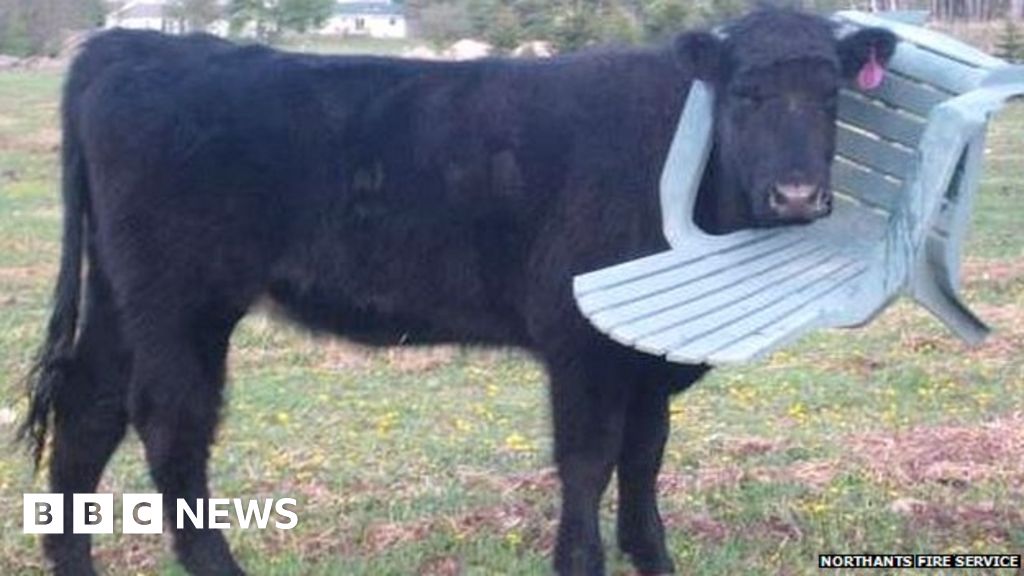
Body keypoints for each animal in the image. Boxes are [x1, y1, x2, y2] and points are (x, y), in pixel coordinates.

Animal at [20, 7, 895, 576]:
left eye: (831, 97)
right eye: (745, 94)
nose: (796, 195)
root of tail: (124, 46)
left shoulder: (651, 353)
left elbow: (645, 460)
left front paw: (654, 559)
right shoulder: (580, 343)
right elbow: (588, 461)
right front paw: (579, 562)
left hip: (122, 295)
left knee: (90, 407)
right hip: (183, 299)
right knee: (172, 426)